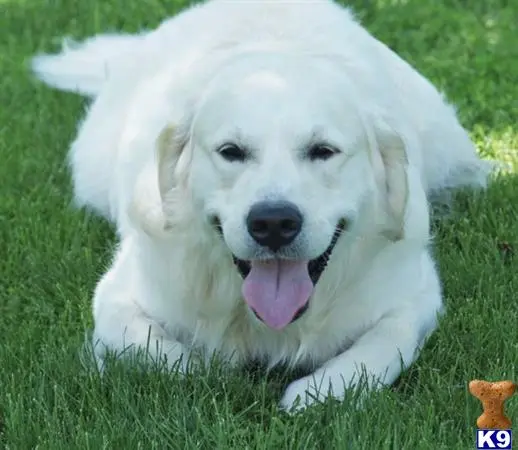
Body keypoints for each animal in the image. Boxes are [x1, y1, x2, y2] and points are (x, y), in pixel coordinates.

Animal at [31, 0, 492, 412]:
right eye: (231, 152)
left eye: (323, 151)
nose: (273, 222)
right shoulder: (117, 295)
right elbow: (160, 353)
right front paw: (206, 371)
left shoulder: (415, 293)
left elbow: (384, 346)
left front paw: (316, 392)